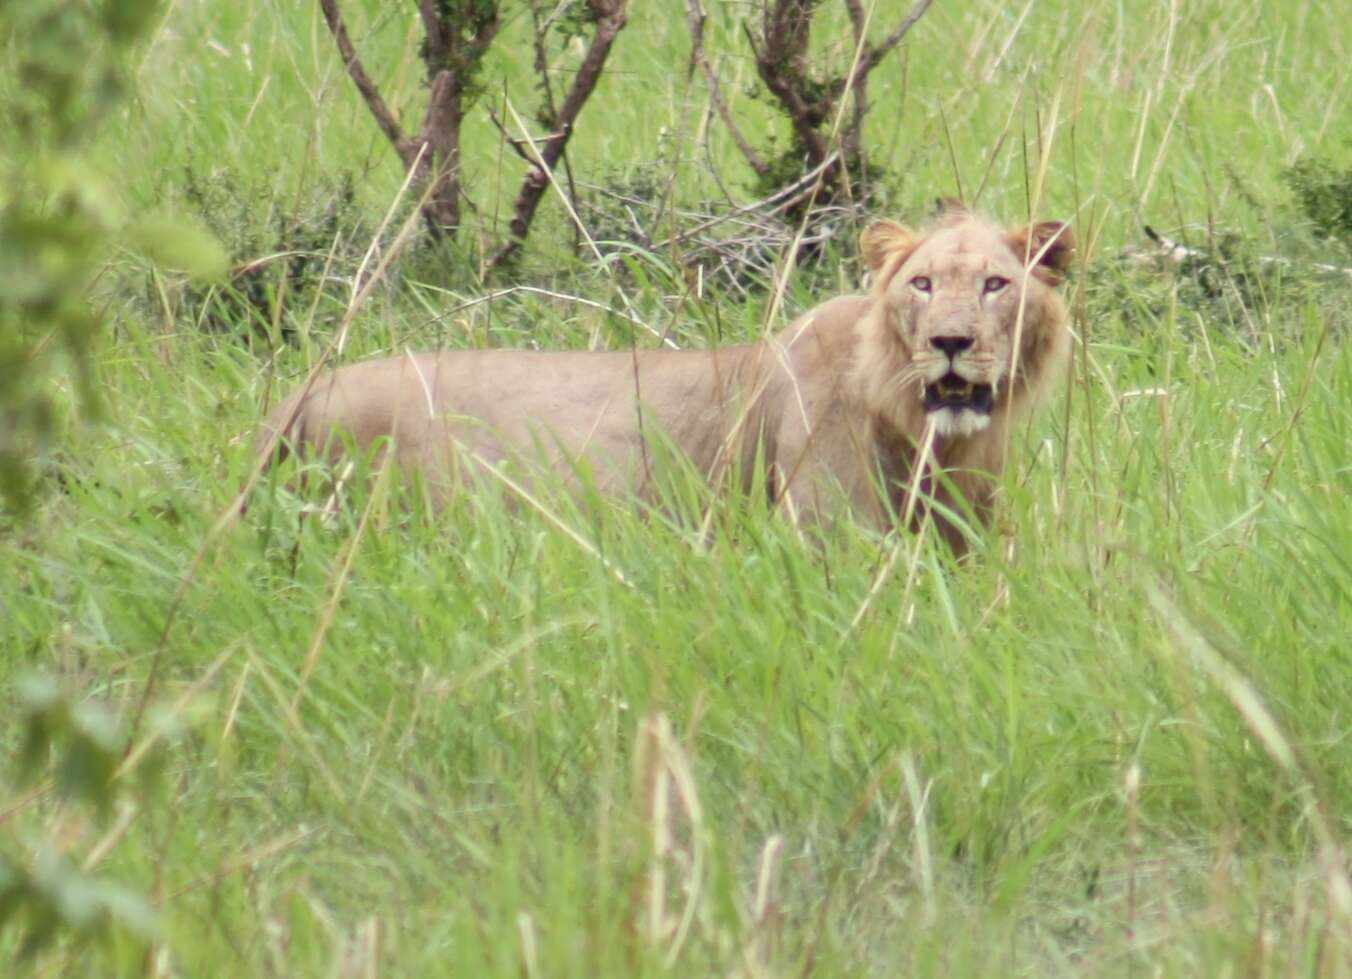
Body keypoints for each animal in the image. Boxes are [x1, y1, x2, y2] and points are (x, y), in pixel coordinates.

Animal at [258, 205, 1070, 551]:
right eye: (922, 284)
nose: (950, 342)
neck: (935, 439)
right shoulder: (829, 532)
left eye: (996, 284)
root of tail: (303, 390)